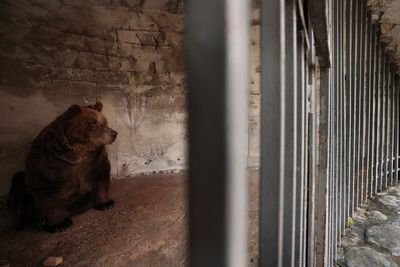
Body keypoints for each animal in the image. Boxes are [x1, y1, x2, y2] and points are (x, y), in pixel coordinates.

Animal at [7, 101, 117, 233]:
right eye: (93, 123)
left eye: (105, 122)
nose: (114, 134)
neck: (78, 153)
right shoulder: (50, 161)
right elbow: (48, 192)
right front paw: (60, 225)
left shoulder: (93, 159)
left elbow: (99, 175)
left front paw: (106, 203)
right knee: (20, 189)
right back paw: (34, 221)